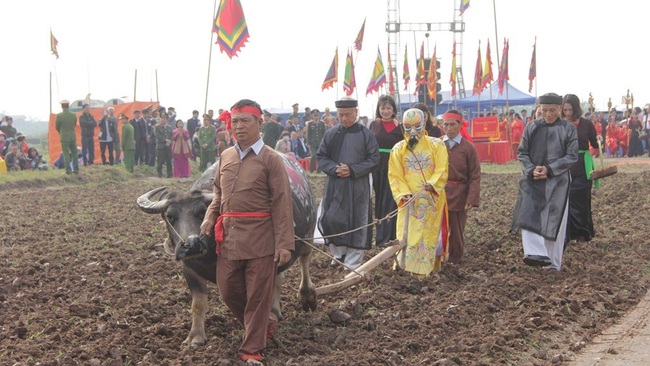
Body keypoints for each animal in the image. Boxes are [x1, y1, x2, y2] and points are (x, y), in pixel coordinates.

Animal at [137, 153, 316, 348]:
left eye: (202, 212)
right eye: (170, 216)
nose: (191, 244)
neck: (210, 255)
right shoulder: (189, 269)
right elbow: (198, 303)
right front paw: (195, 337)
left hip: (308, 236)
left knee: (305, 261)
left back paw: (307, 297)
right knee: (278, 277)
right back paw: (275, 312)